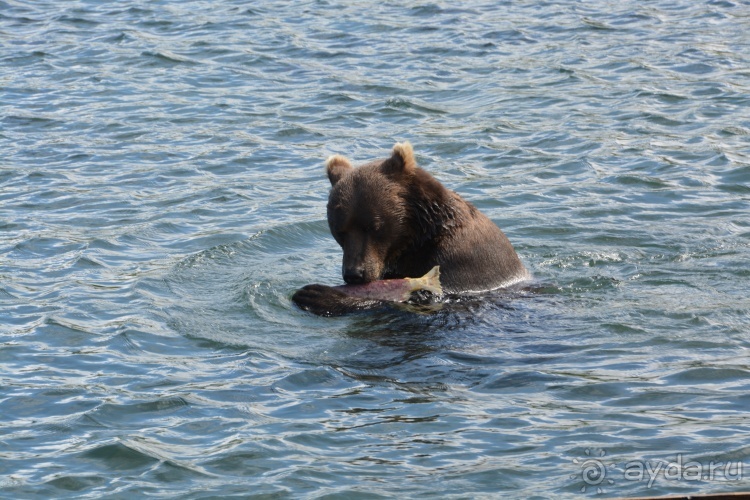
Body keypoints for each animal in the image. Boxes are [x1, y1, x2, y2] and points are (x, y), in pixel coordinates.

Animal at [290, 141, 532, 314]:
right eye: (339, 230)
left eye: (373, 226)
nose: (354, 274)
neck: (420, 236)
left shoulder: (462, 261)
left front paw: (315, 294)